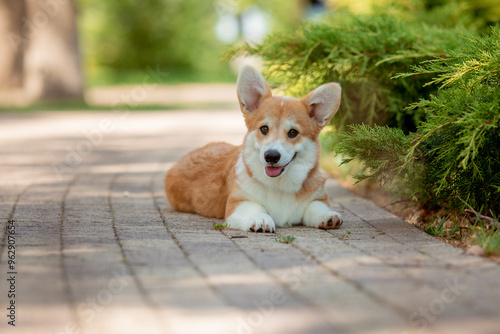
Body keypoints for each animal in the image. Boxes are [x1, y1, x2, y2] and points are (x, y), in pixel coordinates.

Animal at [165, 65, 344, 232]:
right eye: (264, 129)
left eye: (293, 132)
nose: (271, 156)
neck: (279, 186)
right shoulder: (239, 202)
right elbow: (254, 208)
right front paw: (260, 219)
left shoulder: (318, 197)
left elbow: (316, 207)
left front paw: (328, 216)